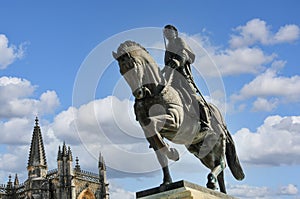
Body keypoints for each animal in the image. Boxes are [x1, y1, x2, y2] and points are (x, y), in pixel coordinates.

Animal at [112, 39, 244, 194]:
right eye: (122, 71)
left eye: (133, 66)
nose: (138, 93)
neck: (154, 93)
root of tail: (222, 121)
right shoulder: (147, 131)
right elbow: (160, 155)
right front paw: (167, 181)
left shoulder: (175, 120)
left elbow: (153, 123)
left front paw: (172, 152)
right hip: (201, 151)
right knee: (218, 168)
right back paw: (217, 189)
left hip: (217, 142)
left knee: (222, 164)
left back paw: (212, 181)